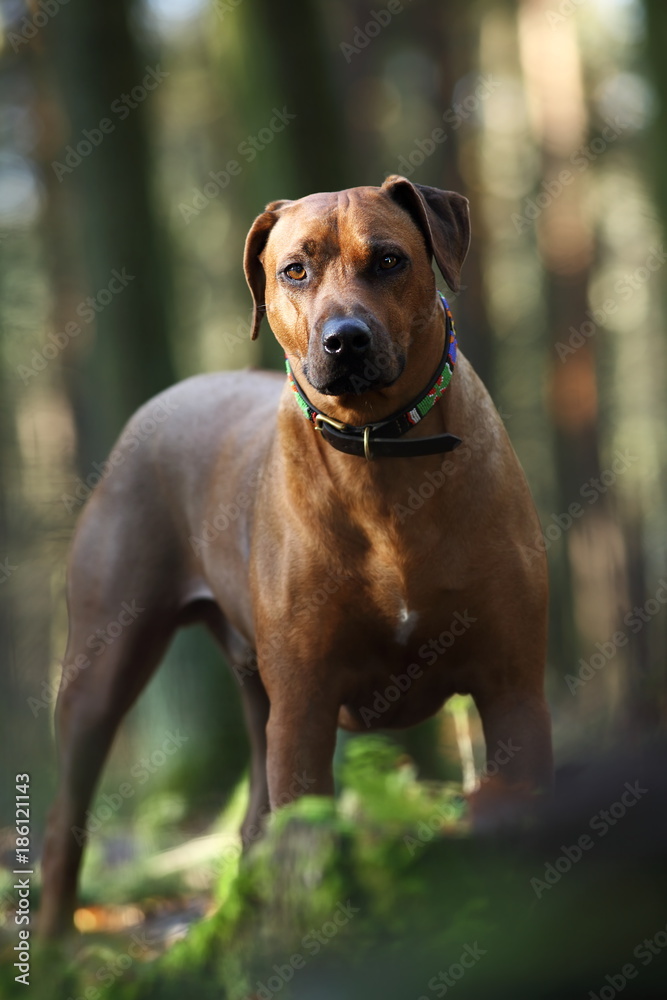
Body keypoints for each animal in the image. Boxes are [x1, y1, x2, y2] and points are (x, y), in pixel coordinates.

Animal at [37, 174, 552, 936]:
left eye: (390, 260)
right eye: (294, 271)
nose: (345, 340)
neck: (379, 455)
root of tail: (162, 400)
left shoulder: (512, 685)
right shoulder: (305, 705)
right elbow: (307, 843)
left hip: (255, 692)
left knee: (253, 823)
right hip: (102, 664)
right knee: (66, 822)